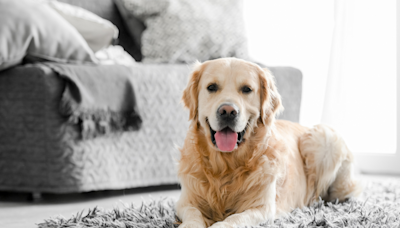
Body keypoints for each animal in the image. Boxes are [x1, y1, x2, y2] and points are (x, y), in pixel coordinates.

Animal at [177, 58, 360, 227]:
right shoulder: (185, 202)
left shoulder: (262, 208)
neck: (226, 166)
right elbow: (193, 214)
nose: (227, 111)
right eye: (212, 87)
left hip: (324, 137)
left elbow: (234, 219)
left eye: (247, 89)